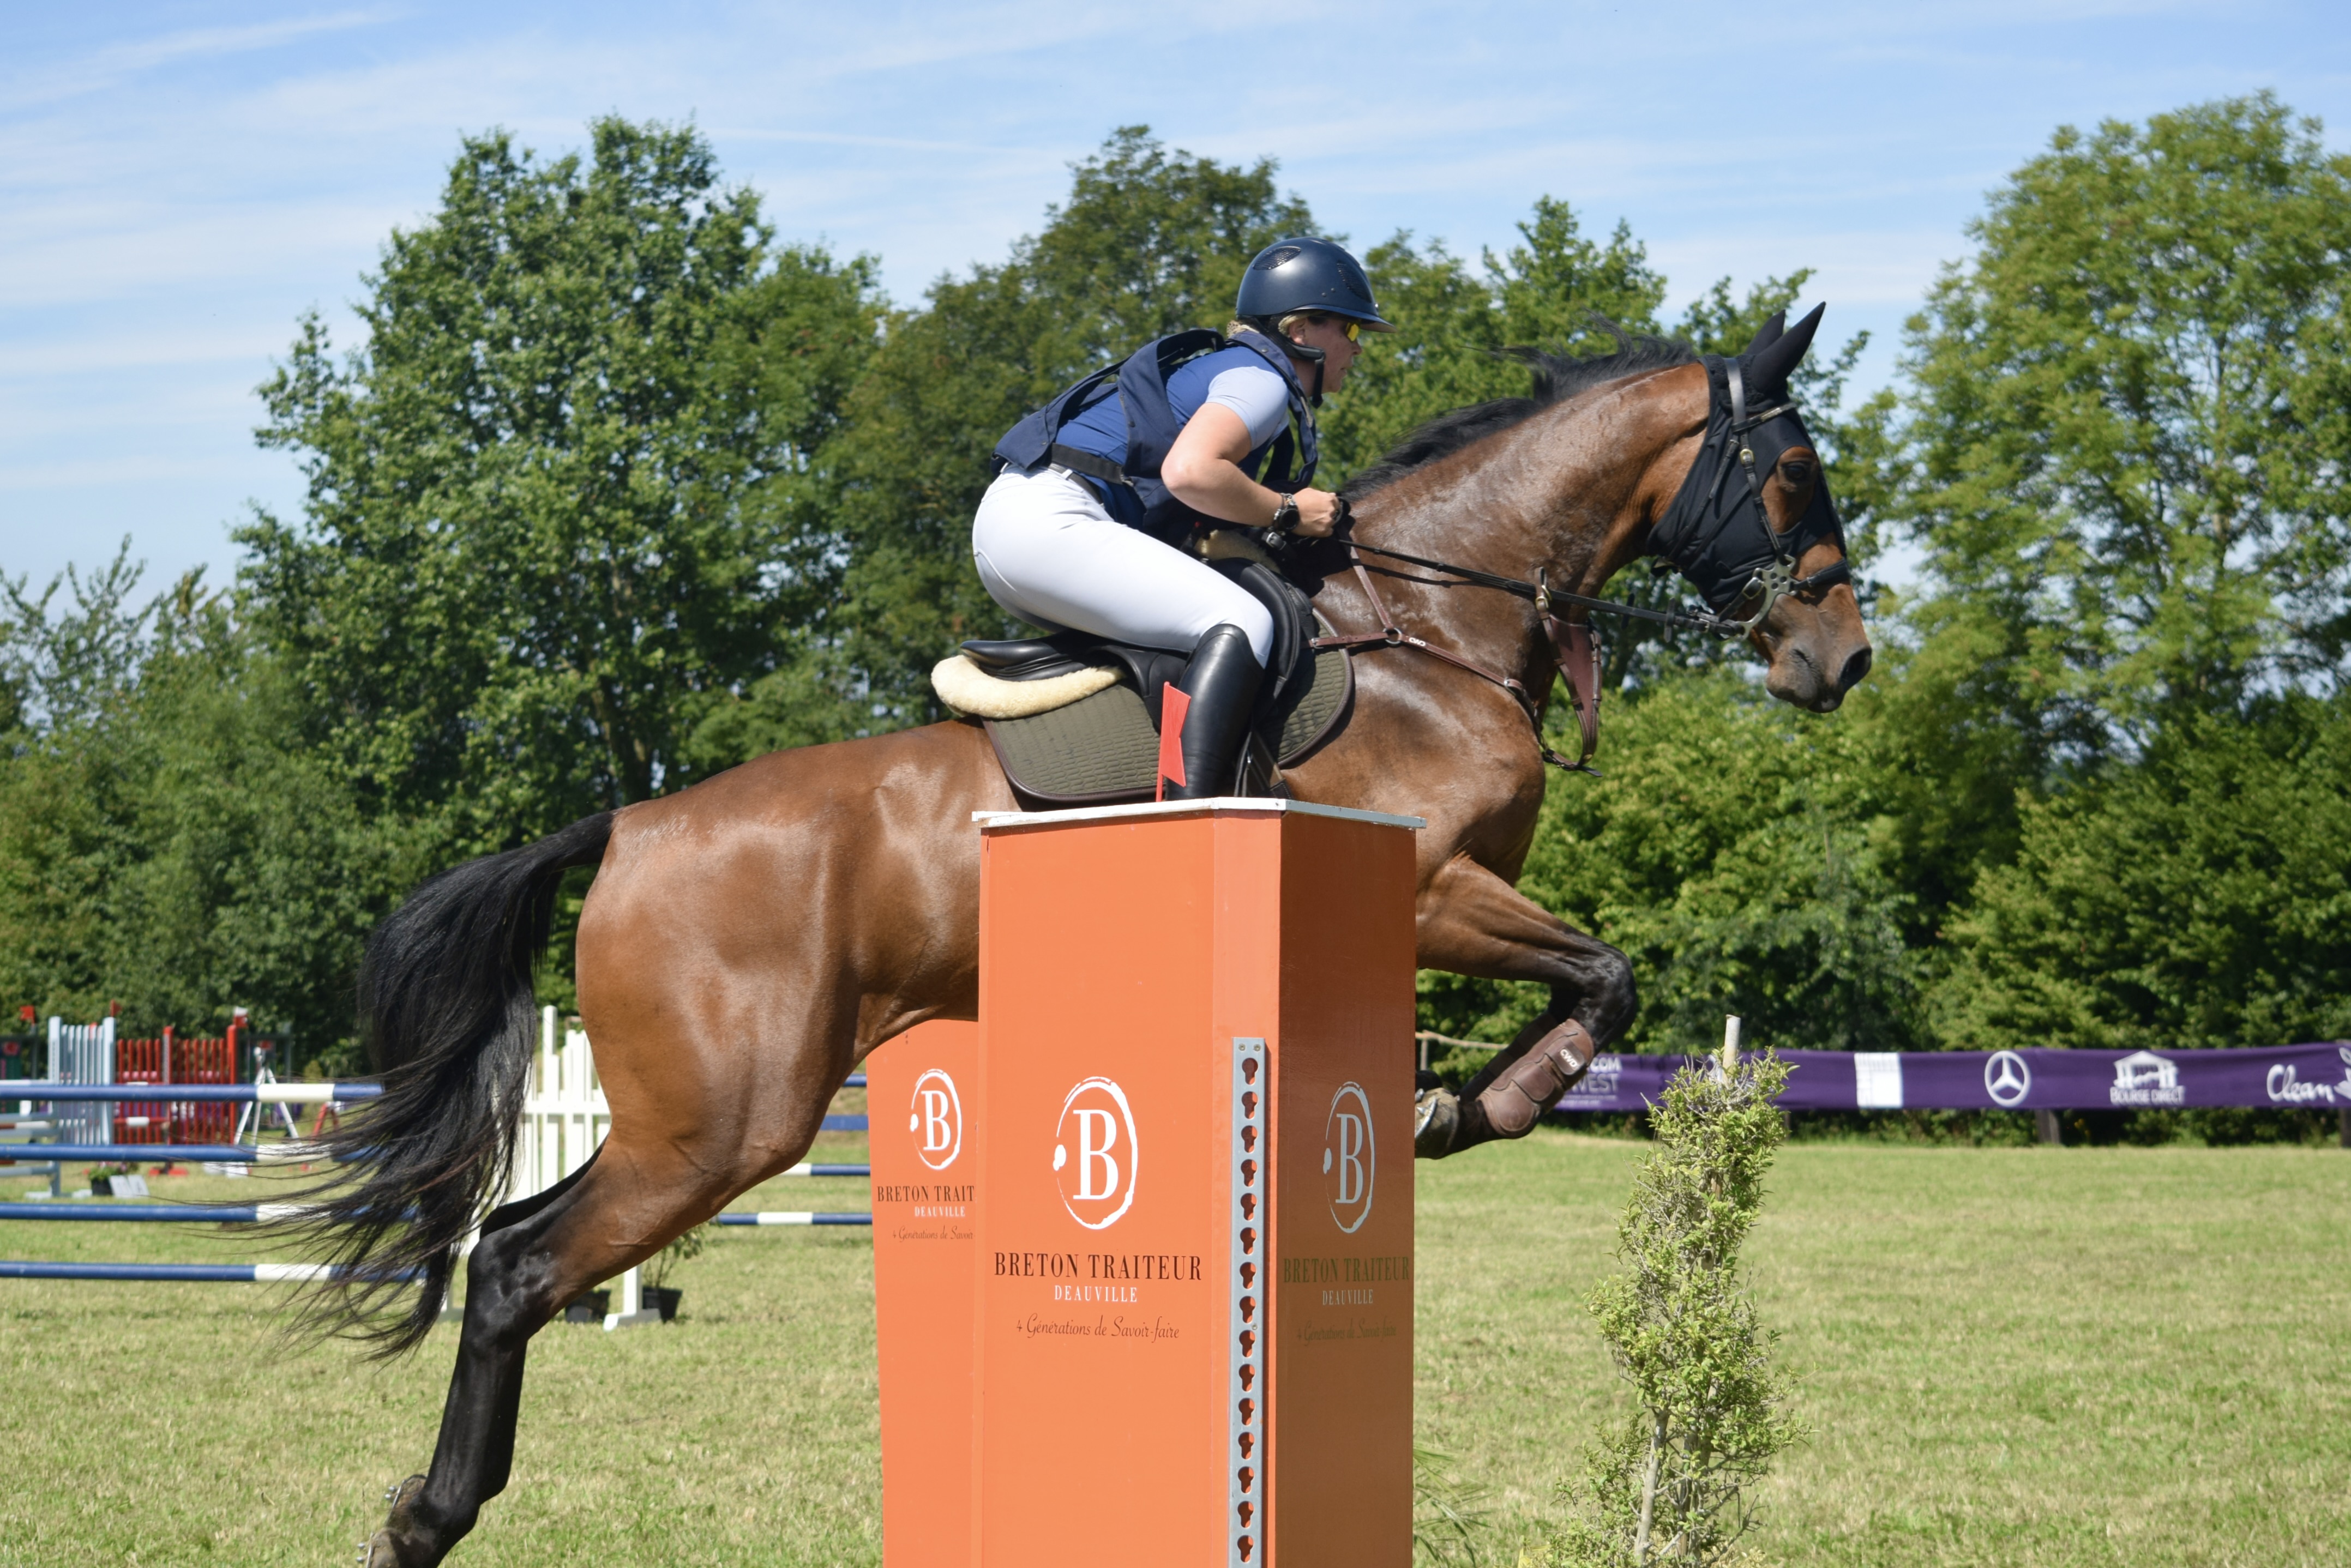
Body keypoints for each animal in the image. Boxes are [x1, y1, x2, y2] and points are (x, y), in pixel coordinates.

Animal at [321, 307, 1870, 1566]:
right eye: (1791, 472)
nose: (1837, 660)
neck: (1432, 628)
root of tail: (629, 823)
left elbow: (1588, 984)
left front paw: (1439, 1102)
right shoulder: (1434, 887)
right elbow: (1605, 975)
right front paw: (1465, 1105)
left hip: (694, 1121)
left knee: (504, 1241)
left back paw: (428, 1506)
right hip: (723, 1120)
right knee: (516, 1264)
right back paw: (430, 1514)